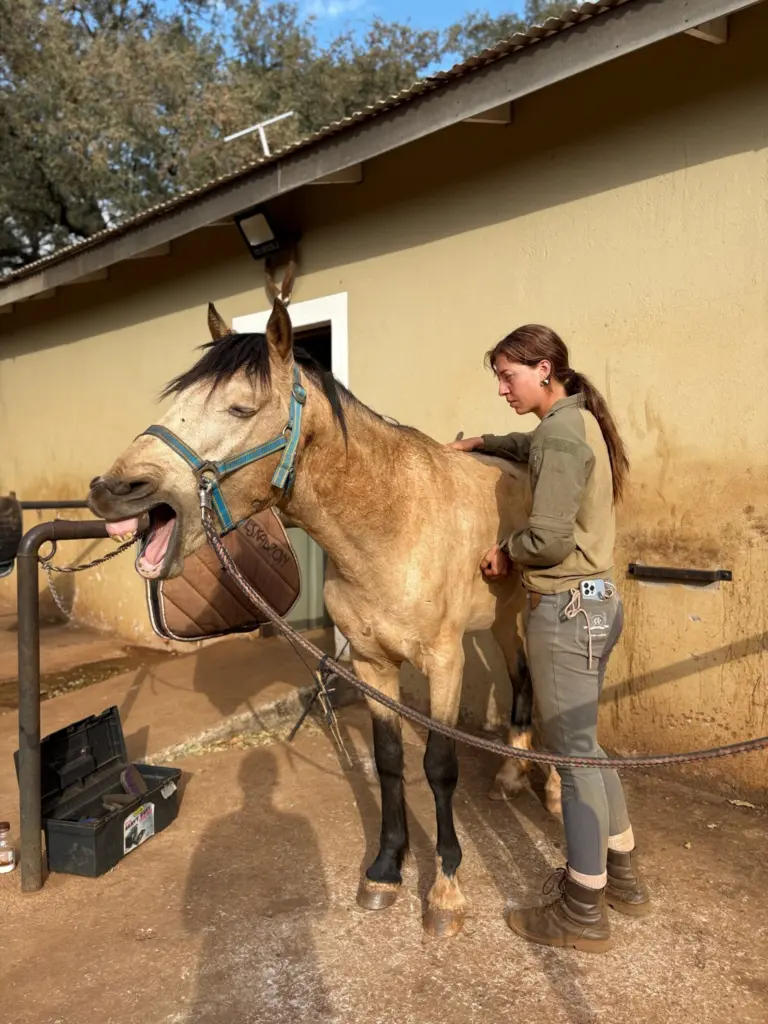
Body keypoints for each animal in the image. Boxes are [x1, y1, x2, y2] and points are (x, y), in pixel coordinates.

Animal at [88, 297, 561, 938]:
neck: (390, 523)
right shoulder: (371, 663)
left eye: (241, 406)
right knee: (521, 683)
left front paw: (445, 891)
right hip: (502, 620)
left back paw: (553, 790)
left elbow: (439, 767)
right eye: (176, 398)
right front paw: (385, 870)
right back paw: (512, 779)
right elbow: (389, 763)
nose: (112, 489)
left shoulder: (444, 662)